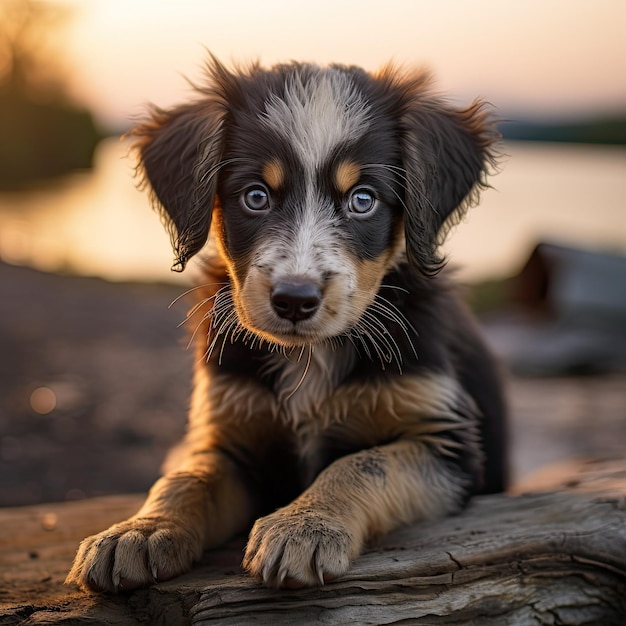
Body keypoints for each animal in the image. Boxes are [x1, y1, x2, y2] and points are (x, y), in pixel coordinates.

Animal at [66, 53, 504, 588]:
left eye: (363, 200)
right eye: (256, 196)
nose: (295, 300)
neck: (308, 358)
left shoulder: (445, 444)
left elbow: (363, 465)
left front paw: (303, 526)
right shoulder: (229, 432)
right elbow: (187, 476)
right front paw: (139, 531)